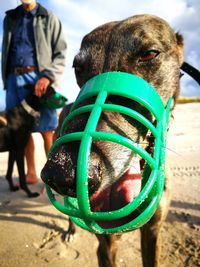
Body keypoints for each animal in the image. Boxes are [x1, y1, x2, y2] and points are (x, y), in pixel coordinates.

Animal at [41, 15, 184, 267]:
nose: (63, 172)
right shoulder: (106, 245)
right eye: (78, 67)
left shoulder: (153, 232)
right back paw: (70, 231)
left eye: (150, 54)